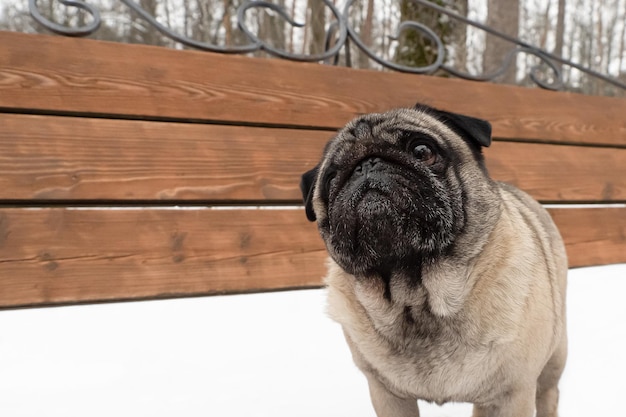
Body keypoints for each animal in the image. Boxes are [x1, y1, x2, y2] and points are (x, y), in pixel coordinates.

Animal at [300, 102, 568, 414]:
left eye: (422, 151)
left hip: (554, 357)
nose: (367, 165)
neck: (418, 299)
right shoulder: (387, 394)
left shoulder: (508, 397)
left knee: (548, 393)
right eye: (331, 179)